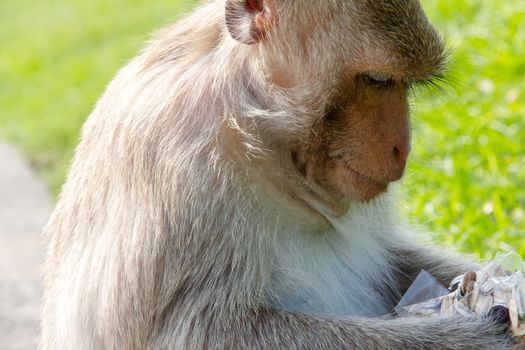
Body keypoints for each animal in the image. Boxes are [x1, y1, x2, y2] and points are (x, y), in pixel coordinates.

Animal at [39, 0, 512, 348]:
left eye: (402, 84)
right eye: (377, 80)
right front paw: (468, 336)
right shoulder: (181, 174)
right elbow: (199, 333)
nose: (403, 148)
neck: (259, 131)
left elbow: (396, 259)